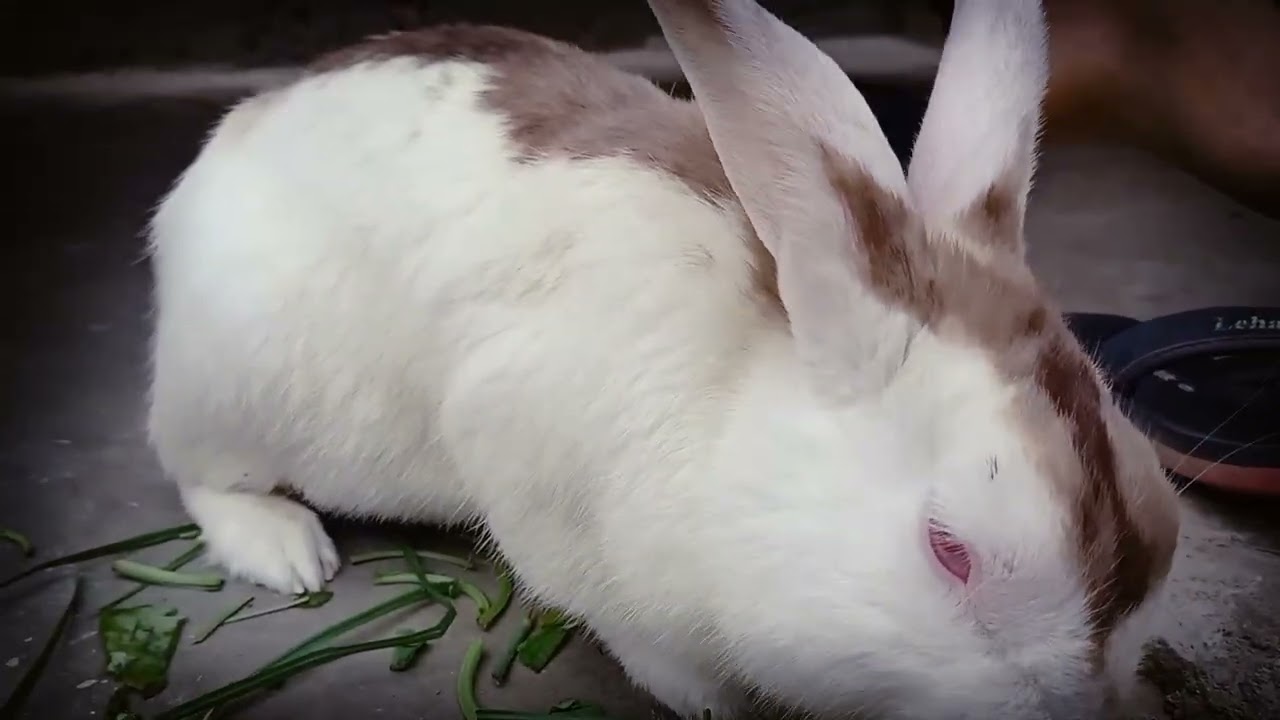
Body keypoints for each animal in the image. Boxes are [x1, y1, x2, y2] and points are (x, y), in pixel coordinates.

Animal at [144, 0, 1182, 717]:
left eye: (1167, 526)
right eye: (950, 551)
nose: (1077, 705)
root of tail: (230, 140)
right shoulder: (546, 496)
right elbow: (648, 647)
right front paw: (712, 705)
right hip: (235, 389)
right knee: (197, 473)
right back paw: (287, 551)